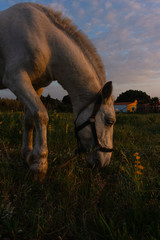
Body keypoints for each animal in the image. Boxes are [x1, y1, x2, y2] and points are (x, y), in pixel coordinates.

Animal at [0, 2, 115, 180]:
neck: (46, 40)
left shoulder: (36, 86)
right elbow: (41, 114)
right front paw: (39, 164)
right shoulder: (15, 79)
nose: (104, 162)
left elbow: (29, 119)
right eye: (110, 121)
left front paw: (27, 155)